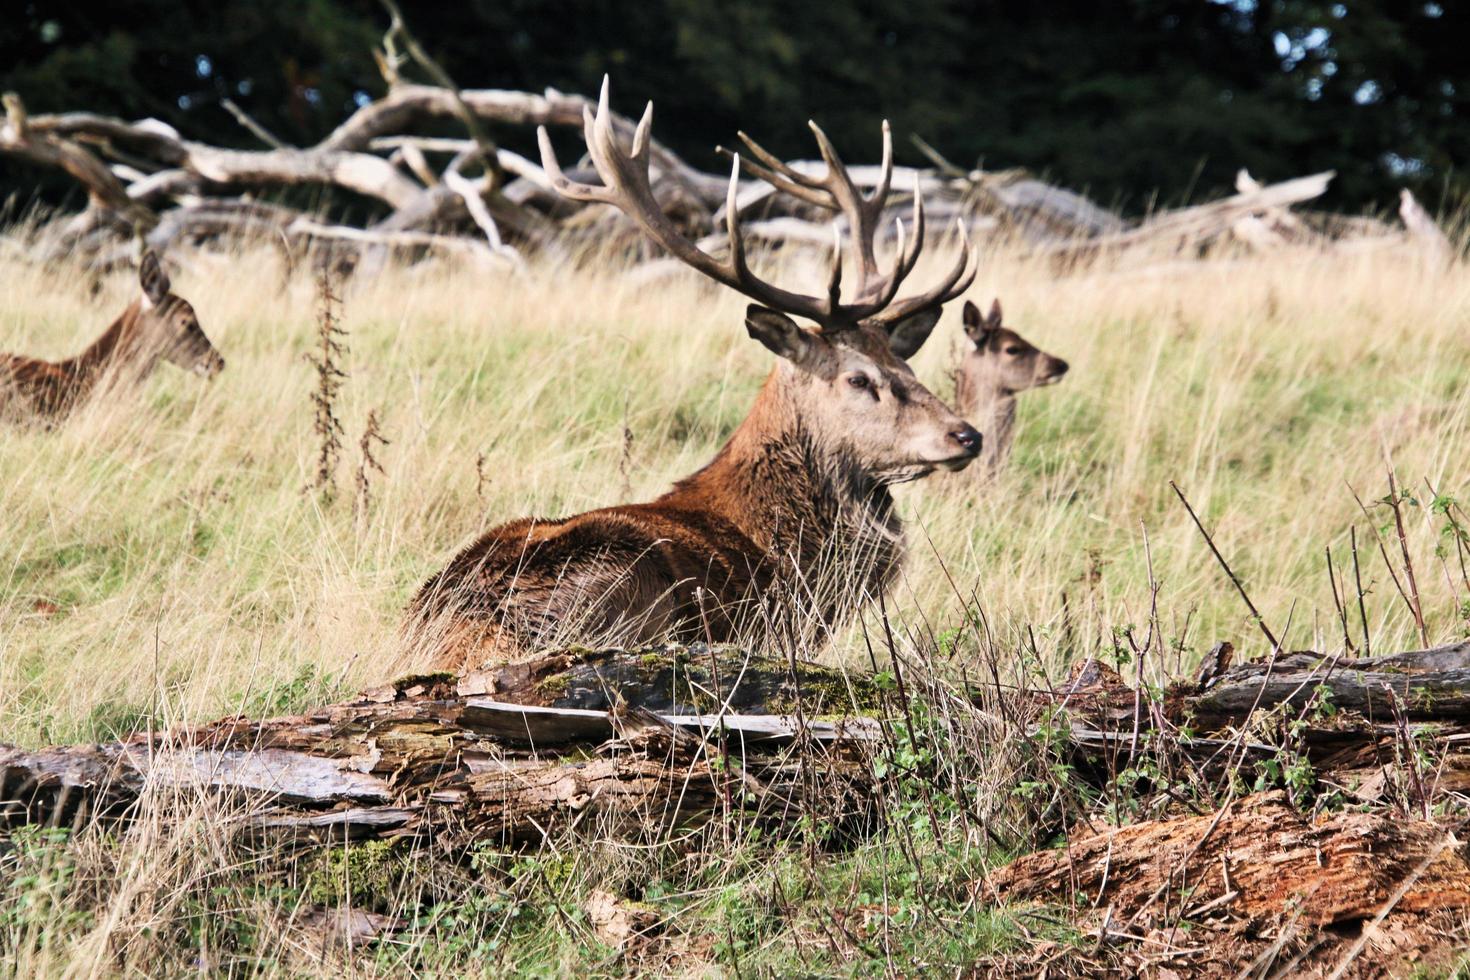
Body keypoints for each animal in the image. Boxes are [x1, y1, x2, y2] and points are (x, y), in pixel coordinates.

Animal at [411, 80, 987, 669]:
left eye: (905, 364)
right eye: (858, 379)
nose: (967, 435)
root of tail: (462, 633)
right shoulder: (780, 624)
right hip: (627, 587)